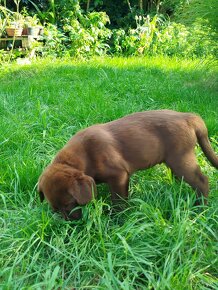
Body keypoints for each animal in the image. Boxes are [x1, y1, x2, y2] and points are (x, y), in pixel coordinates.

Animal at [38, 110, 217, 220]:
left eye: (69, 204)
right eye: (54, 210)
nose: (71, 224)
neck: (82, 157)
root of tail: (188, 116)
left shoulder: (118, 176)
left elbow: (118, 201)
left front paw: (117, 218)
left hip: (181, 159)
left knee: (202, 181)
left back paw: (201, 208)